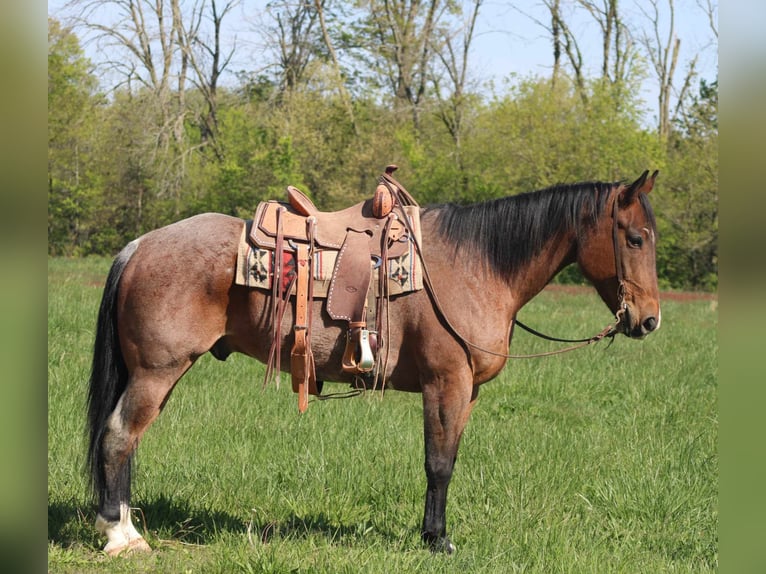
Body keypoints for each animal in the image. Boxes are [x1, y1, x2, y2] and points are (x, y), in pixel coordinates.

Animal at [82, 170, 660, 560]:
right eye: (634, 238)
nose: (649, 320)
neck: (475, 267)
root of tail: (140, 245)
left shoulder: (467, 391)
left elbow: (448, 460)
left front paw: (433, 533)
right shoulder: (446, 383)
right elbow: (438, 463)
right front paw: (437, 540)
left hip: (159, 376)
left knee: (128, 442)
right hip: (157, 372)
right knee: (118, 437)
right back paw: (120, 536)